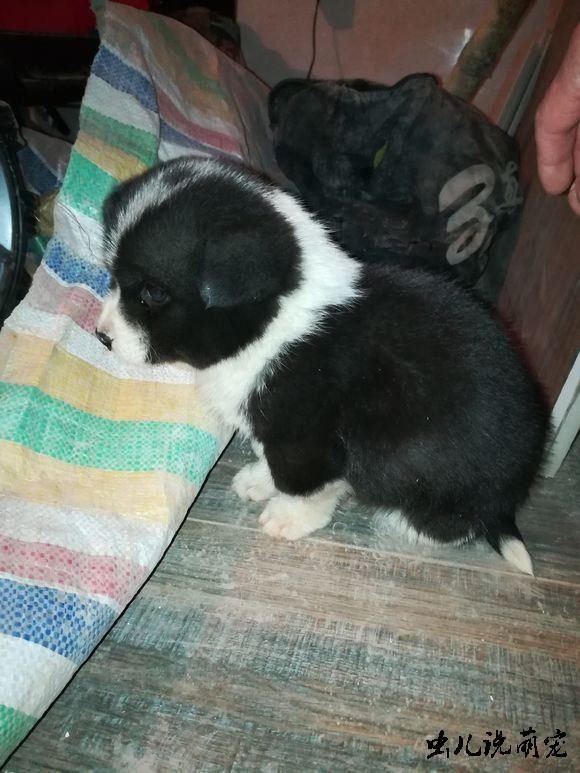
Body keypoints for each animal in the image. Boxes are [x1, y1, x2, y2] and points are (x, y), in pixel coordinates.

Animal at [96, 157, 549, 574]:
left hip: (426, 469)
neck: (273, 321)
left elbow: (303, 486)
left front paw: (286, 519)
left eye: (153, 293)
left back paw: (406, 524)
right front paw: (256, 482)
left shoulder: (304, 441)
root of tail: (509, 499)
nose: (101, 337)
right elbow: (269, 462)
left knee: (459, 522)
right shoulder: (272, 432)